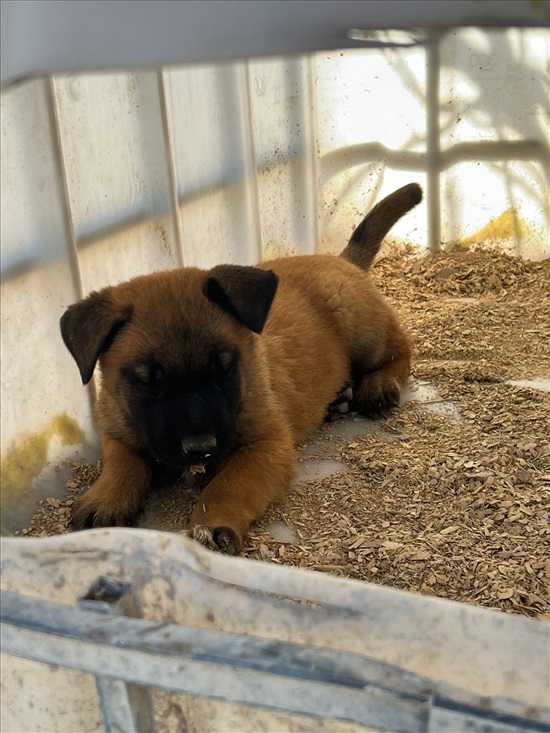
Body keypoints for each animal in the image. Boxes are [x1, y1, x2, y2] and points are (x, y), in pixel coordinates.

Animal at [60, 184, 422, 556]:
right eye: (148, 381)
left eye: (224, 369)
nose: (200, 448)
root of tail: (341, 259)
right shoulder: (118, 430)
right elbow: (122, 463)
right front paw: (106, 499)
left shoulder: (265, 447)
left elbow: (227, 485)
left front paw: (213, 524)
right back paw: (337, 401)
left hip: (361, 328)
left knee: (400, 350)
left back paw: (378, 386)